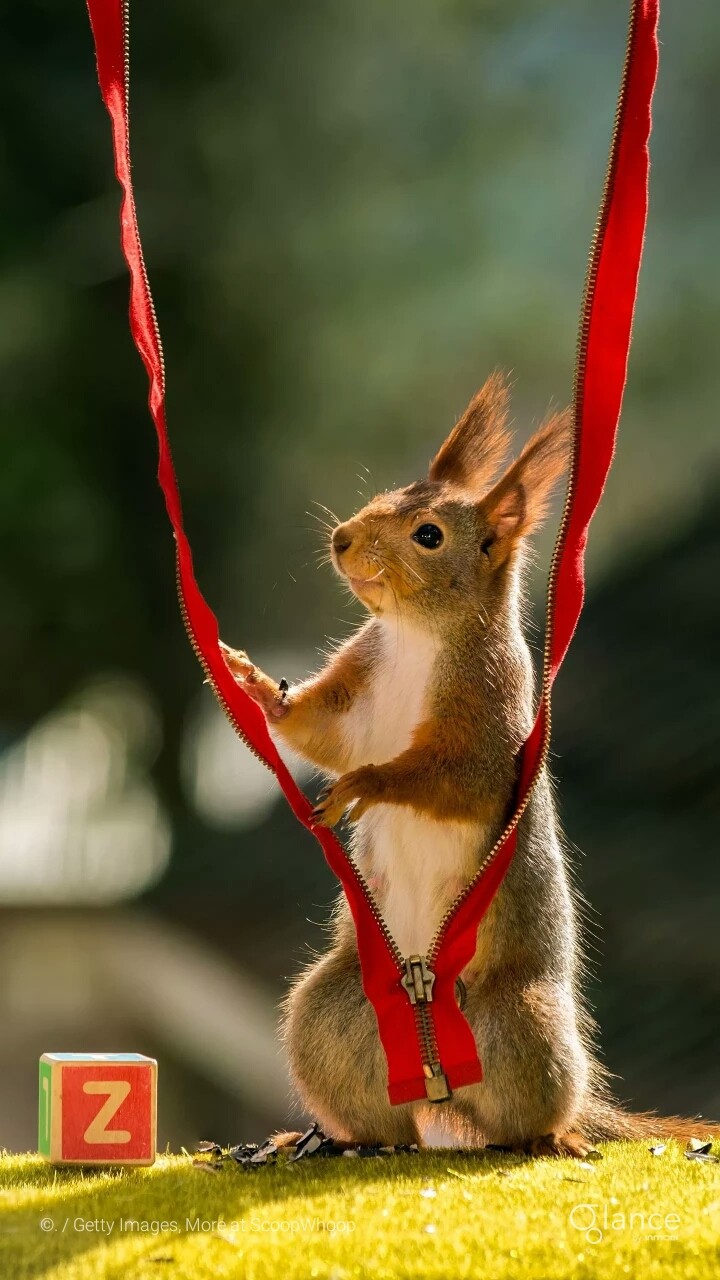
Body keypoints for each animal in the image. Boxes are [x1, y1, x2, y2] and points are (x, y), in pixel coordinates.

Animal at [222, 372, 719, 1157]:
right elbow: (318, 729)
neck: (416, 638)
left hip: (520, 1022)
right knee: (386, 1113)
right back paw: (339, 1137)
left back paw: (554, 1137)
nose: (341, 539)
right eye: (387, 492)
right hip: (332, 1015)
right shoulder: (358, 693)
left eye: (429, 535)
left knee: (526, 1109)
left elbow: (447, 780)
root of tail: (439, 1077)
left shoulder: (490, 722)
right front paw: (251, 683)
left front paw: (364, 786)